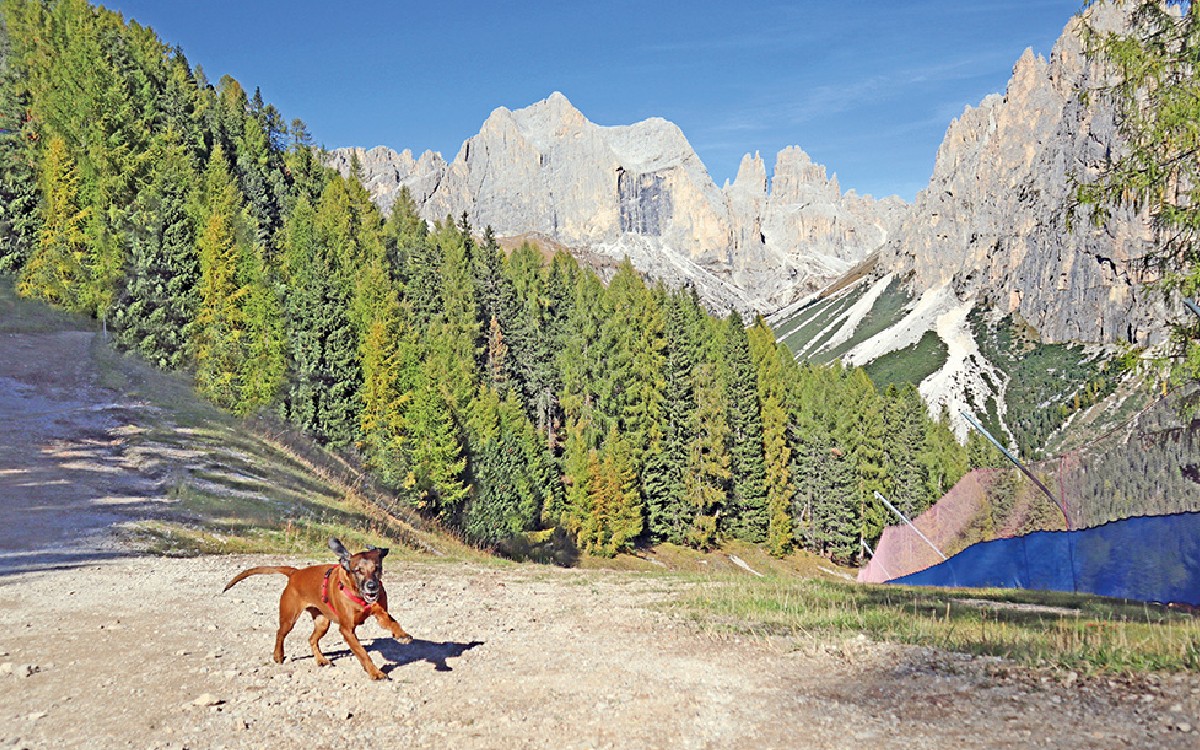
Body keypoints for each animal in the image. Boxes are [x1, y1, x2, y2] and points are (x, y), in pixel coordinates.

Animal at [224, 535, 412, 676]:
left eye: (377, 568)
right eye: (358, 570)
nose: (372, 586)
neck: (360, 596)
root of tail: (296, 573)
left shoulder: (380, 613)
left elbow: (392, 622)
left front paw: (401, 634)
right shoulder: (347, 629)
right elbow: (362, 653)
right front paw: (375, 673)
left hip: (322, 622)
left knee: (312, 639)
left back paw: (321, 659)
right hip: (289, 618)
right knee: (280, 633)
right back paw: (278, 655)